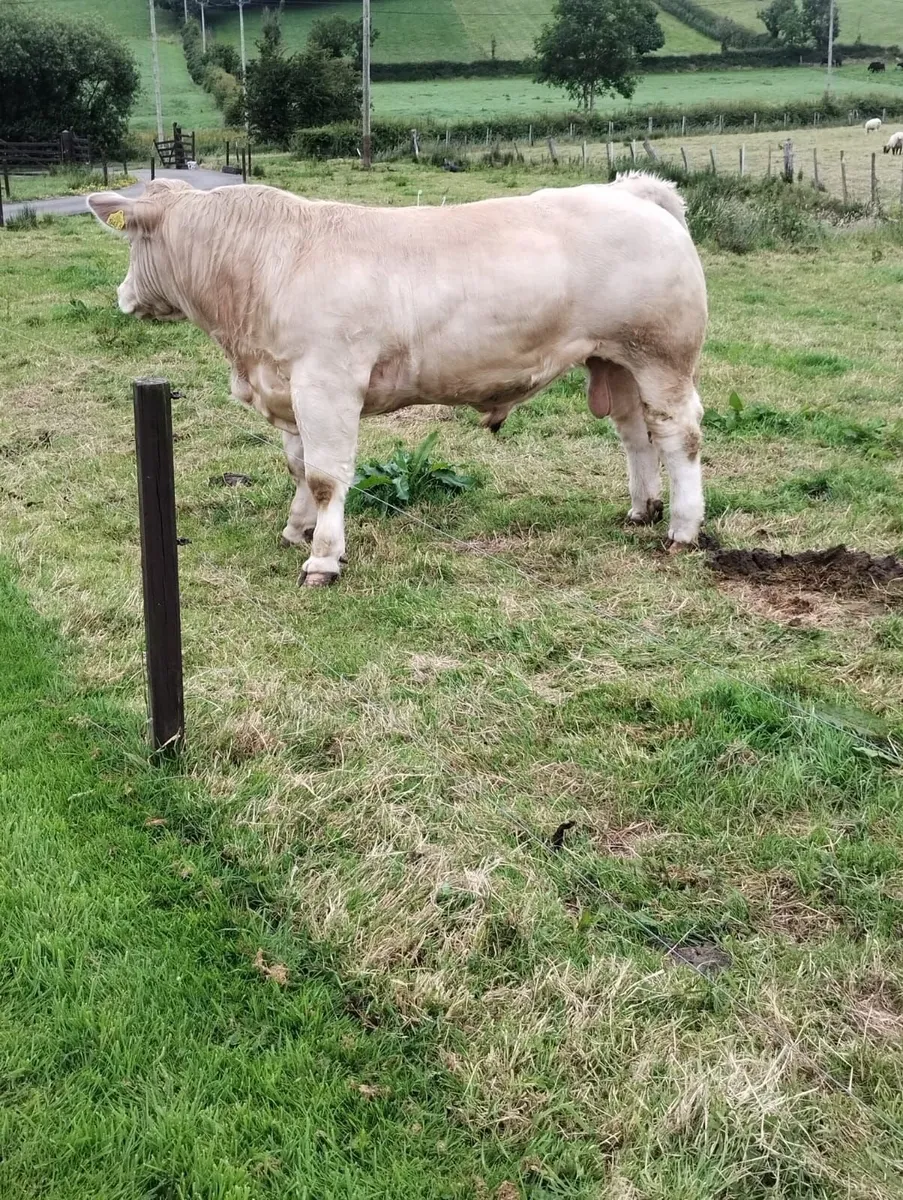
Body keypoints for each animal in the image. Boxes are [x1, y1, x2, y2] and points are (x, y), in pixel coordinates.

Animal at [88, 174, 708, 587]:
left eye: (133, 240)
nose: (122, 295)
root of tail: (630, 190)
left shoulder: (327, 383)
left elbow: (325, 475)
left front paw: (323, 558)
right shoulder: (288, 387)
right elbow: (298, 465)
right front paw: (298, 528)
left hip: (662, 356)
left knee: (679, 434)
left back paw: (681, 529)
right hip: (615, 360)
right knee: (635, 433)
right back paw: (641, 508)